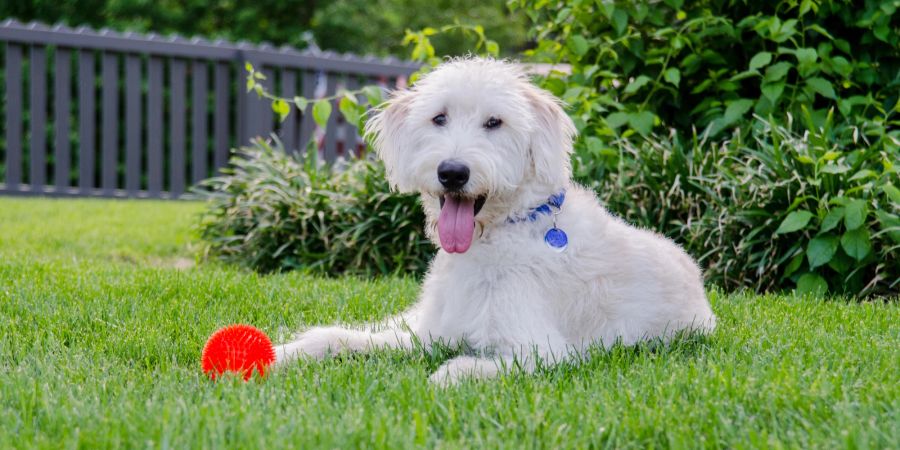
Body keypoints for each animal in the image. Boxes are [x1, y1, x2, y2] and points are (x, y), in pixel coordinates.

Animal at [276, 58, 716, 384]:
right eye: (439, 118)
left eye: (494, 122)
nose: (453, 172)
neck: (500, 234)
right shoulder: (431, 331)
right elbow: (345, 340)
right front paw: (285, 353)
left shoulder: (546, 351)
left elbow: (459, 368)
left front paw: (446, 374)